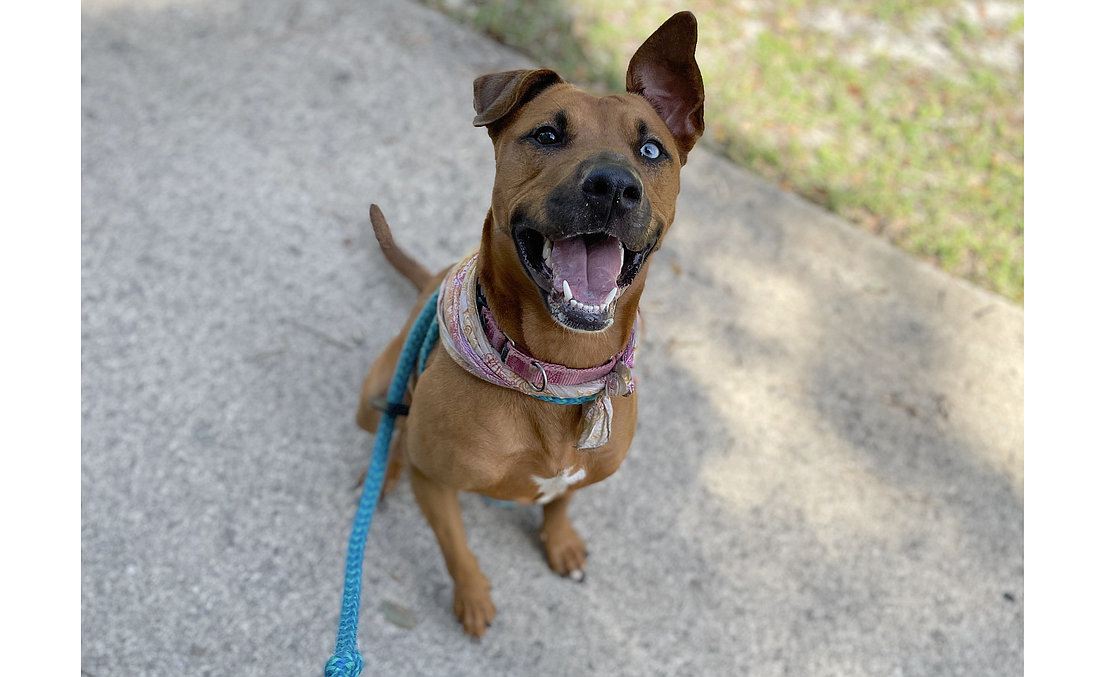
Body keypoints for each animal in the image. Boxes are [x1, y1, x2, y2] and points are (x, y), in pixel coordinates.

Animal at [358, 10, 704, 634]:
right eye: (547, 135)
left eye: (650, 148)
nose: (614, 187)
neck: (557, 370)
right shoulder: (436, 480)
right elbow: (456, 547)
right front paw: (473, 597)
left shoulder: (580, 472)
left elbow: (562, 499)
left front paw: (559, 541)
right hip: (376, 392)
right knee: (390, 434)